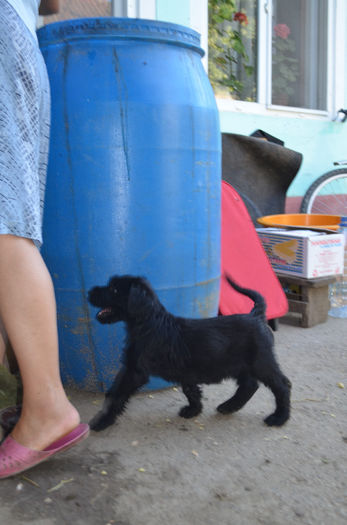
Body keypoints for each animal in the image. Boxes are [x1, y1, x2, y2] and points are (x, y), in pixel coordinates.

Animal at [87, 274, 290, 430]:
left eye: (114, 290)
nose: (90, 292)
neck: (148, 322)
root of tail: (256, 315)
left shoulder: (135, 371)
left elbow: (116, 394)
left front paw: (102, 421)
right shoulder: (184, 370)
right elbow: (190, 389)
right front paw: (194, 410)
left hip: (261, 362)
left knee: (282, 385)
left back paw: (279, 418)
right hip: (240, 364)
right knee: (250, 385)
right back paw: (229, 406)